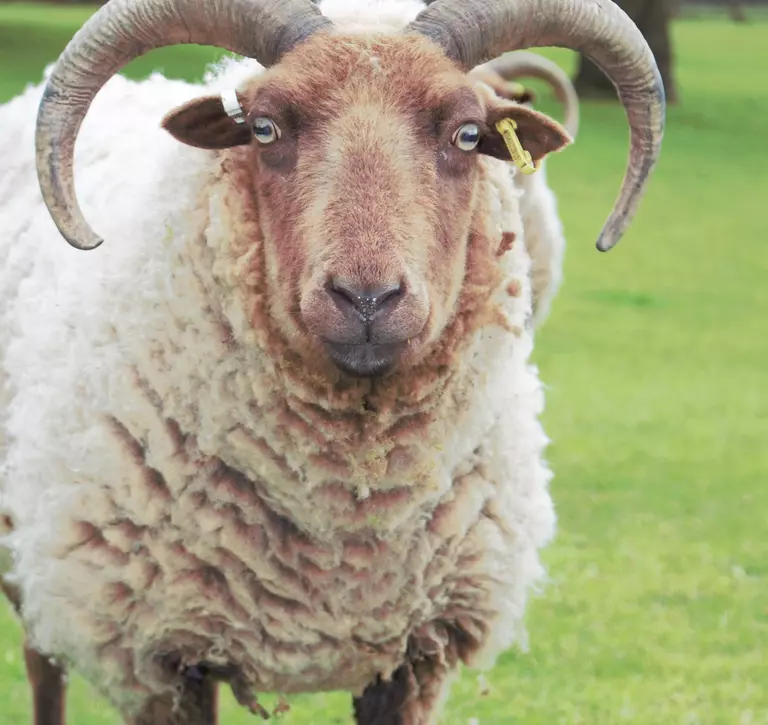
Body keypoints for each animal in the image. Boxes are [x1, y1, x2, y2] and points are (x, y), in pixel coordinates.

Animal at [0, 0, 664, 720]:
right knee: (43, 665)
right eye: (263, 128)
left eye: (467, 134)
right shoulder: (159, 659)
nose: (366, 297)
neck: (341, 538)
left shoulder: (413, 658)